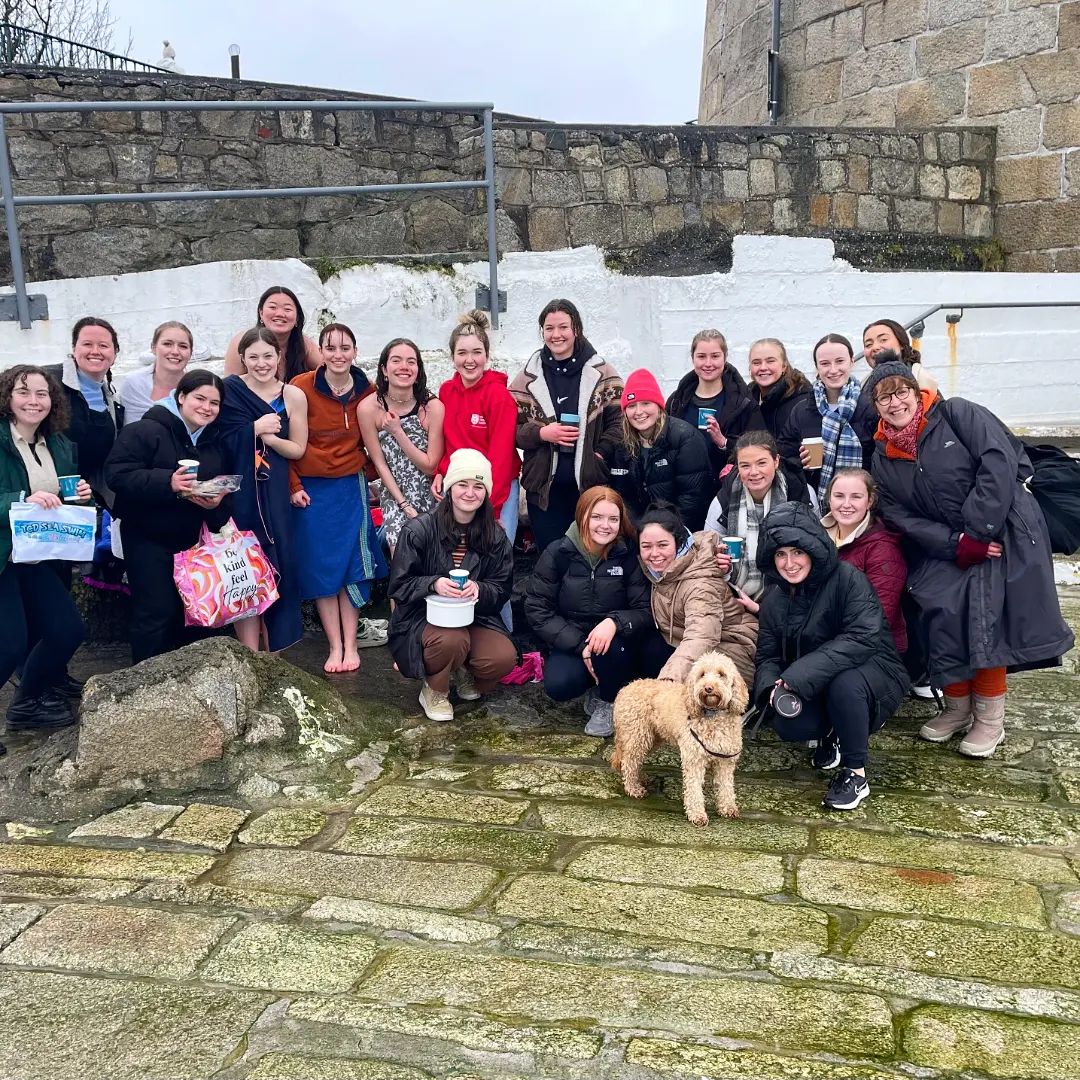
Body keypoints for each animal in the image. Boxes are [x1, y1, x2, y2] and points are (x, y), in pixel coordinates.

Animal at [613, 648, 747, 825]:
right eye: (702, 674)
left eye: (721, 674)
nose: (708, 688)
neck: (712, 715)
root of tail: (624, 689)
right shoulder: (694, 759)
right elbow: (694, 789)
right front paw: (697, 814)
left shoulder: (725, 760)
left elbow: (726, 787)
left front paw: (728, 808)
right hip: (638, 736)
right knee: (628, 763)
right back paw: (633, 788)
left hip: (650, 738)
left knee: (633, 761)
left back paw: (641, 778)